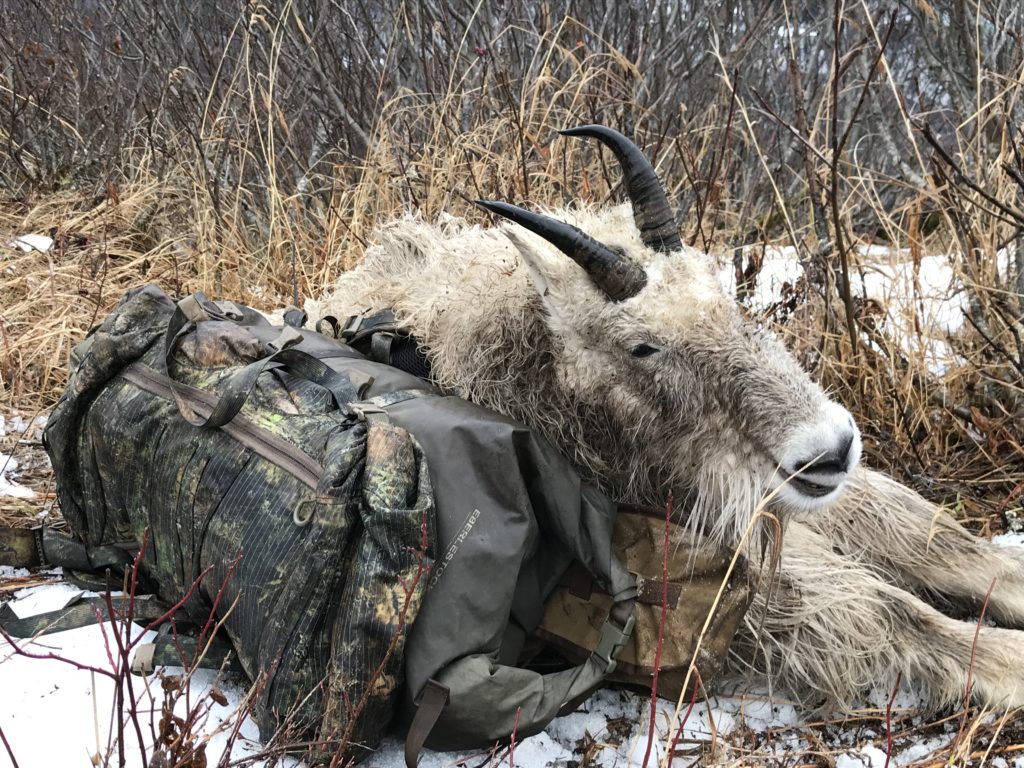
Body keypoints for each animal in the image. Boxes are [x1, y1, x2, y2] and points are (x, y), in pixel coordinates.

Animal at [307, 125, 1024, 711]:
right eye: (642, 347)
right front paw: (1010, 663)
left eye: (723, 288)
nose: (831, 449)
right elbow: (883, 607)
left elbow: (931, 539)